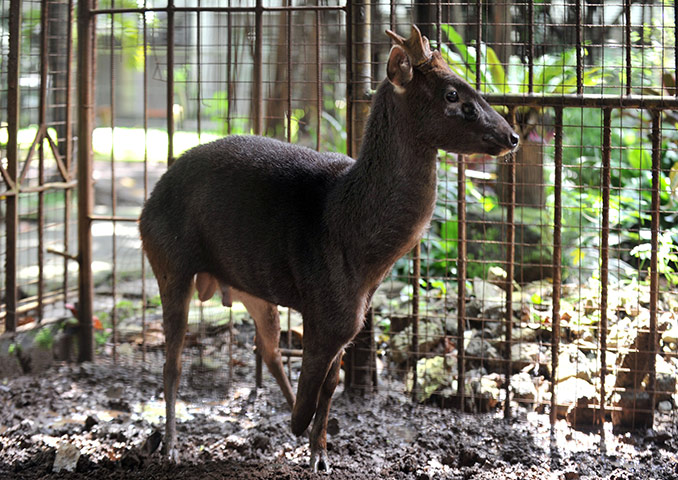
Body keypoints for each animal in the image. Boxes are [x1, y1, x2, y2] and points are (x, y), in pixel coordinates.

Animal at [138, 25, 519, 472]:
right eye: (452, 94)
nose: (512, 136)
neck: (358, 245)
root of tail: (147, 206)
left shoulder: (347, 320)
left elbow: (330, 386)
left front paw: (319, 451)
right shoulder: (324, 309)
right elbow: (315, 388)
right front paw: (304, 433)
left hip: (254, 289)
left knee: (267, 347)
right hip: (169, 263)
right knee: (173, 361)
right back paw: (170, 446)